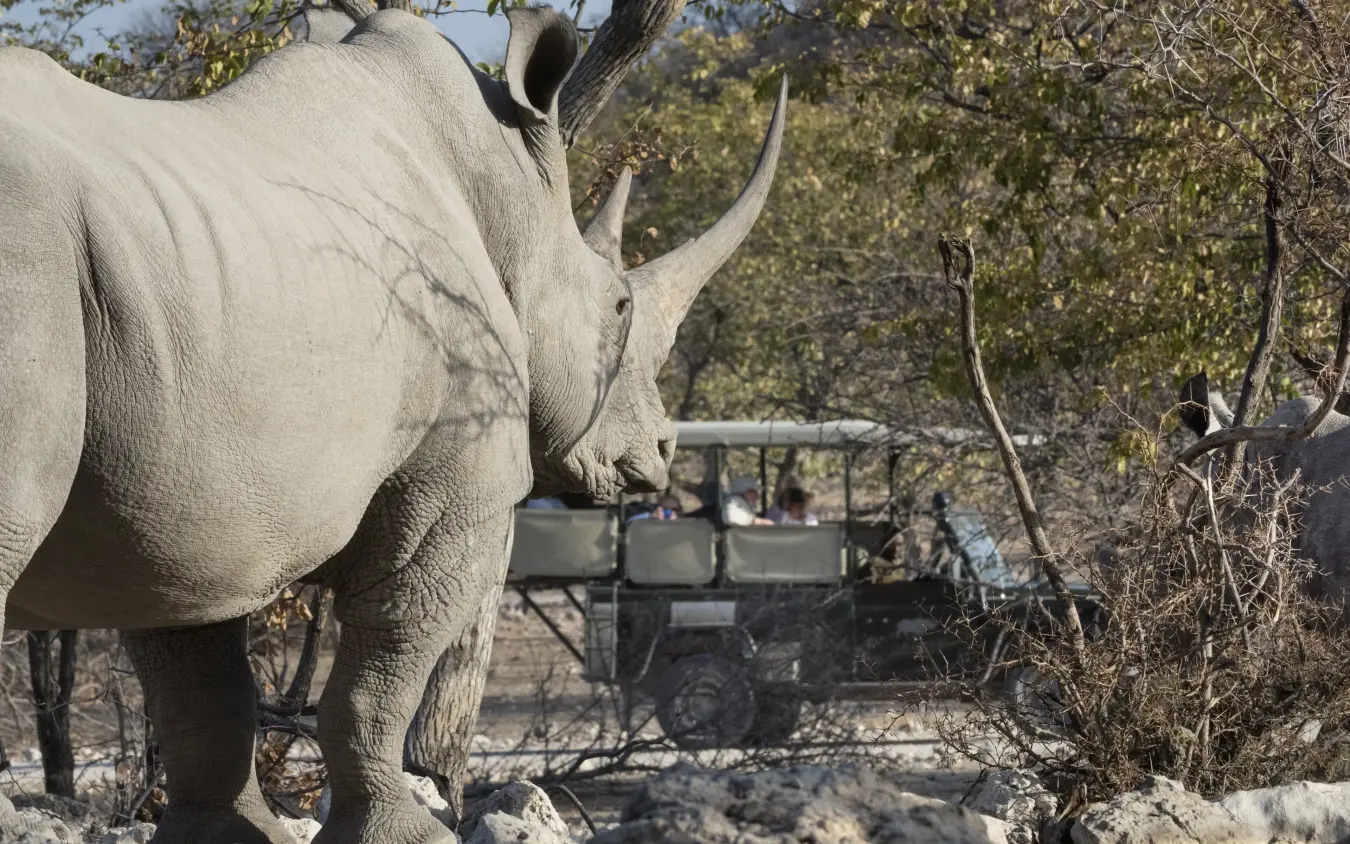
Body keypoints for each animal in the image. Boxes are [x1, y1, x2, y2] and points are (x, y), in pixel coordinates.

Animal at [0, 2, 786, 842]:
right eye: (619, 307)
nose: (661, 449)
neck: (511, 207)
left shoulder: (183, 495)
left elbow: (197, 682)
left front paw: (234, 835)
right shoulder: (451, 485)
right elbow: (384, 666)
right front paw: (409, 831)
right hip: (28, 259)